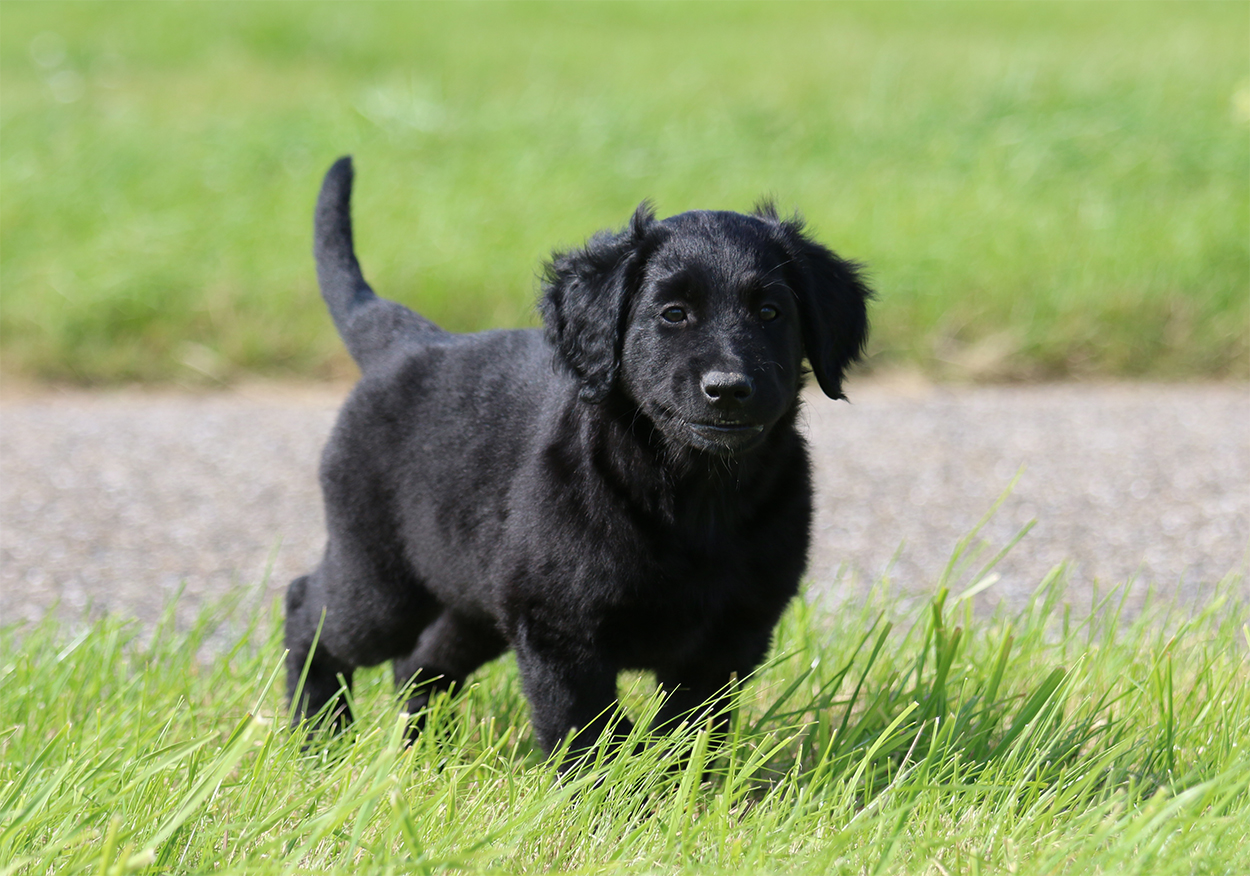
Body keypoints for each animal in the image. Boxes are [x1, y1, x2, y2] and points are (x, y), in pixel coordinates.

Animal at [285, 157, 872, 761]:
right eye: (674, 313)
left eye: (771, 312)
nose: (729, 388)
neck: (695, 496)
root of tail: (406, 343)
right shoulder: (558, 630)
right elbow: (586, 729)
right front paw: (607, 782)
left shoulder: (728, 640)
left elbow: (689, 736)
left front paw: (675, 781)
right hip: (380, 581)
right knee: (309, 610)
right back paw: (317, 735)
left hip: (473, 595)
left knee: (420, 663)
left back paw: (426, 752)